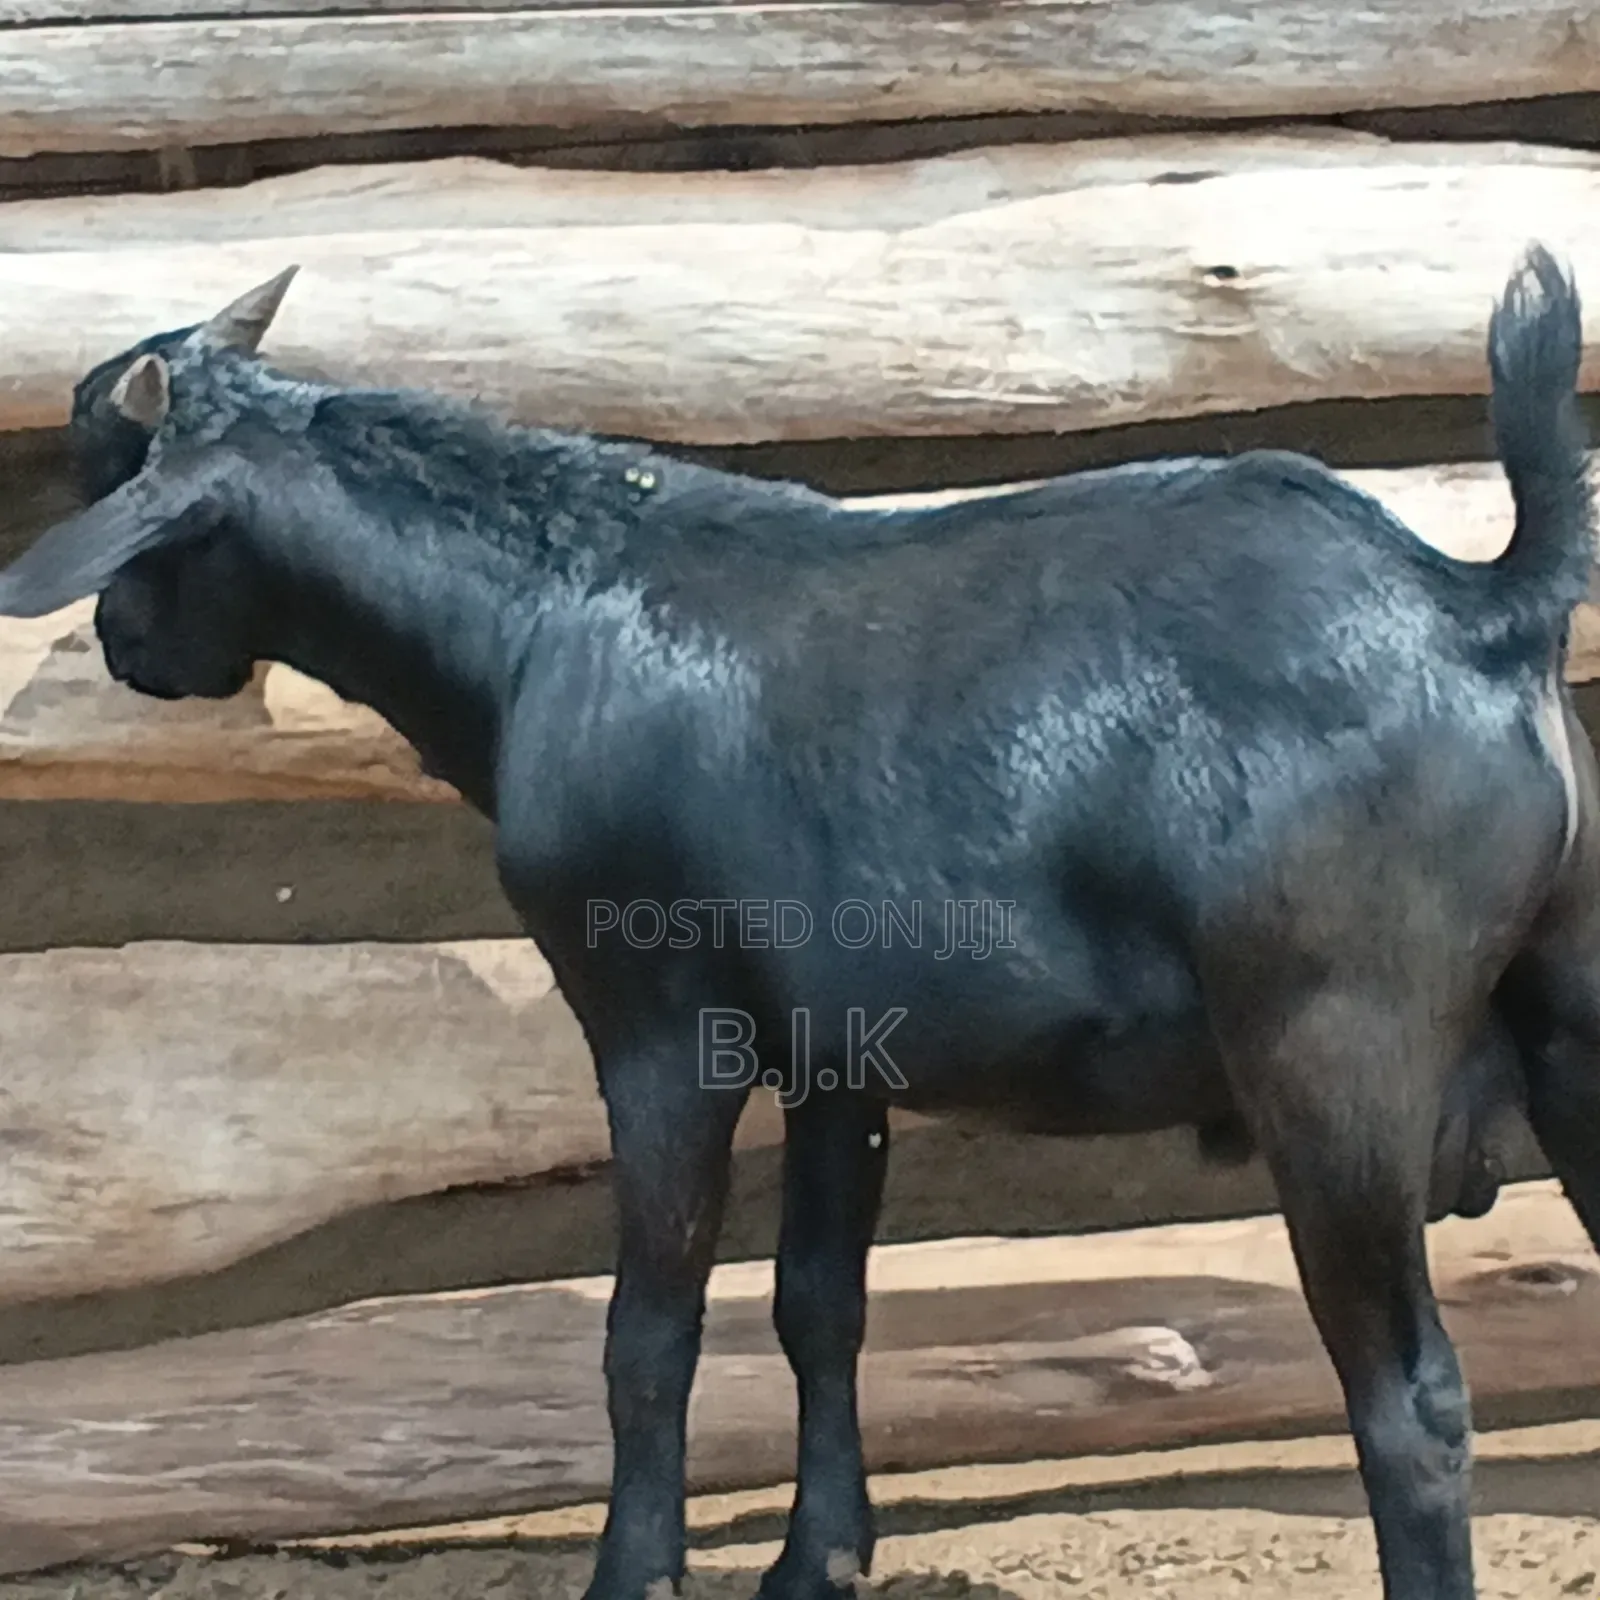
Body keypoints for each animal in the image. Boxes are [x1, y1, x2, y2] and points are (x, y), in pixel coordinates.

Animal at [3, 246, 1597, 1600]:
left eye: (121, 490)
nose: (122, 649)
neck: (545, 615)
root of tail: (1475, 610)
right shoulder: (842, 1049)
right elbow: (816, 1301)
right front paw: (816, 1560)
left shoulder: (657, 1018)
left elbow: (650, 1328)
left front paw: (633, 1572)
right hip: (1568, 1001)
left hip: (1333, 1042)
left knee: (1407, 1396)